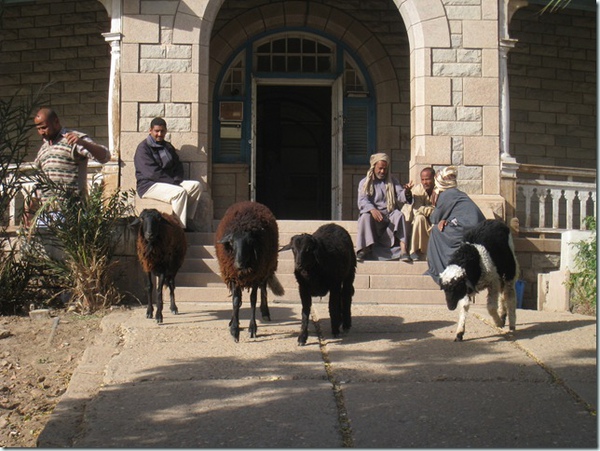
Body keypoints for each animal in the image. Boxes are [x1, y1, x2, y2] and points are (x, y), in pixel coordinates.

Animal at [214, 201, 284, 342]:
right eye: (231, 242)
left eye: (250, 242)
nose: (239, 264)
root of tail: (249, 202)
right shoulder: (233, 276)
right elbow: (235, 300)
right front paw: (234, 329)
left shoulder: (256, 276)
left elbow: (253, 299)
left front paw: (252, 328)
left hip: (266, 268)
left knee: (263, 289)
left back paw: (265, 312)